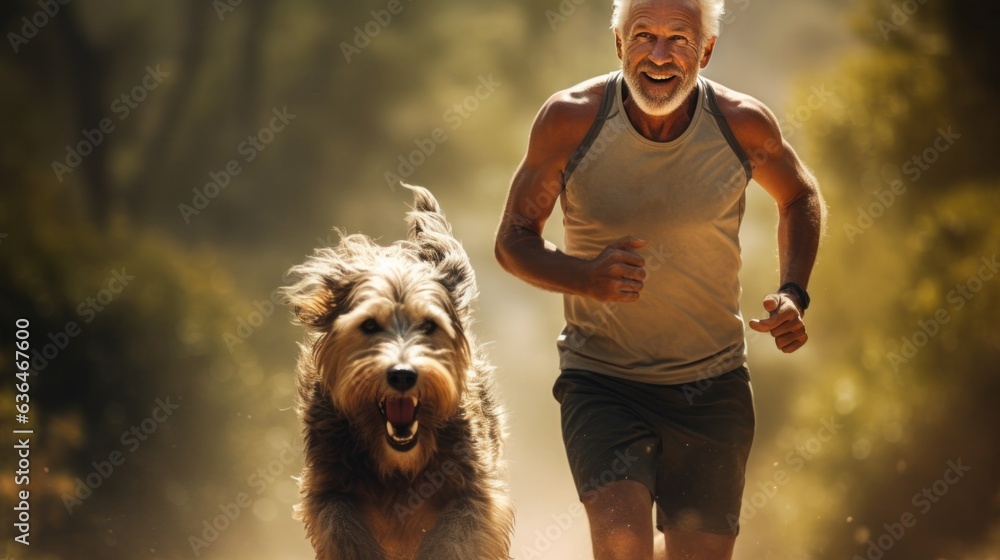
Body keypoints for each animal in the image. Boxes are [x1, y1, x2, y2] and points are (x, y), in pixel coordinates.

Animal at [284, 185, 512, 560]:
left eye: (429, 324)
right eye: (369, 325)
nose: (403, 375)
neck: (399, 465)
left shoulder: (475, 491)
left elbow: (454, 537)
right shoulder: (328, 486)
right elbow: (341, 526)